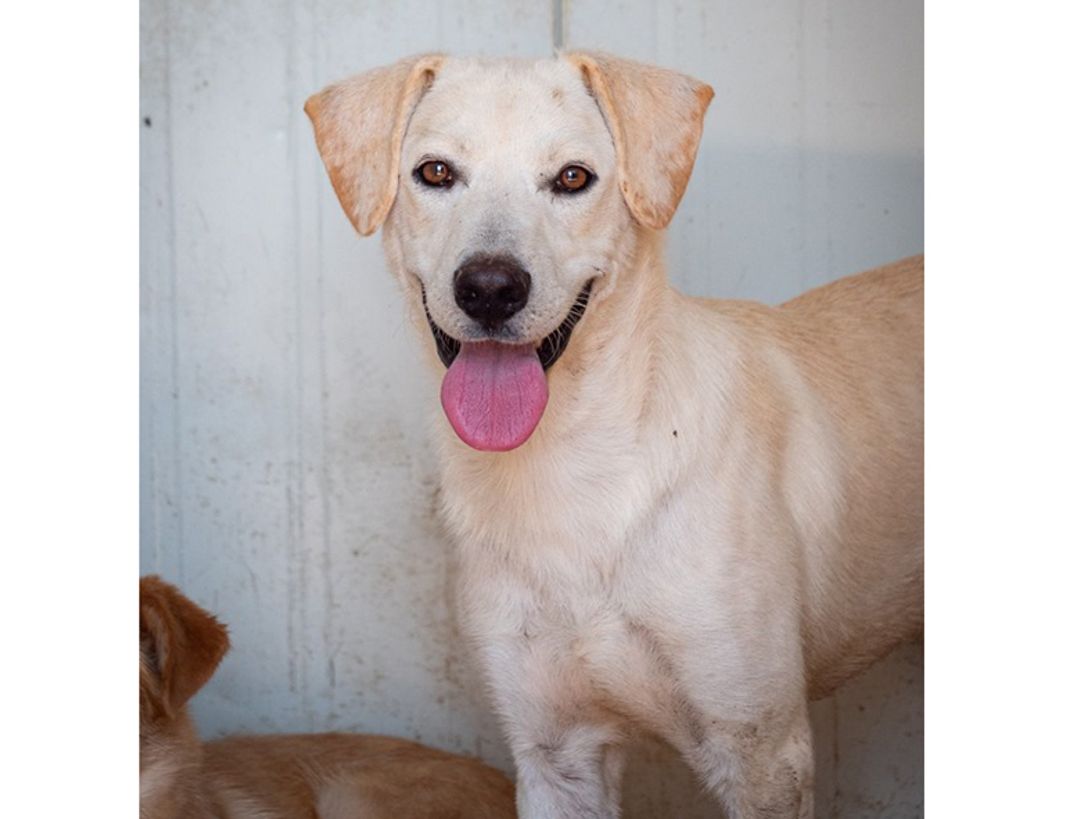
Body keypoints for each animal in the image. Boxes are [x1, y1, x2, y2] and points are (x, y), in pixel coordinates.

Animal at [305, 51, 923, 818]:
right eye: (436, 172)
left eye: (573, 178)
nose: (489, 288)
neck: (572, 468)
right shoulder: (555, 753)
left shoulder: (764, 752)